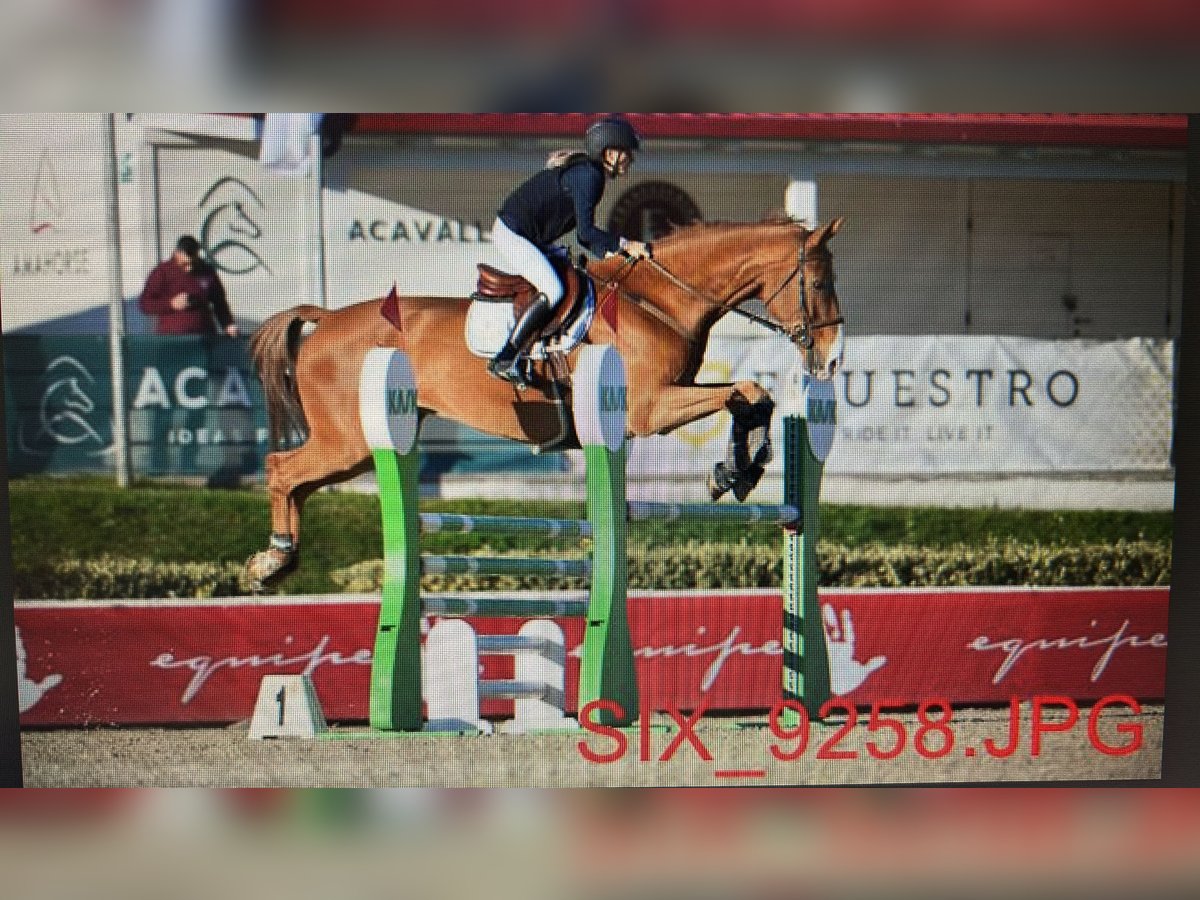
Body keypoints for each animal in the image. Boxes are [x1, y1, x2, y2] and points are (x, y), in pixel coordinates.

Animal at [243, 214, 844, 588]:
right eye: (818, 284)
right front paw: (737, 470)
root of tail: (325, 319)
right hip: (350, 441)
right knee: (279, 468)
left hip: (360, 448)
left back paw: (277, 562)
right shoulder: (651, 410)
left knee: (297, 482)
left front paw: (739, 470)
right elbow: (748, 392)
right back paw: (273, 557)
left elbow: (752, 397)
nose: (832, 361)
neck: (658, 301)